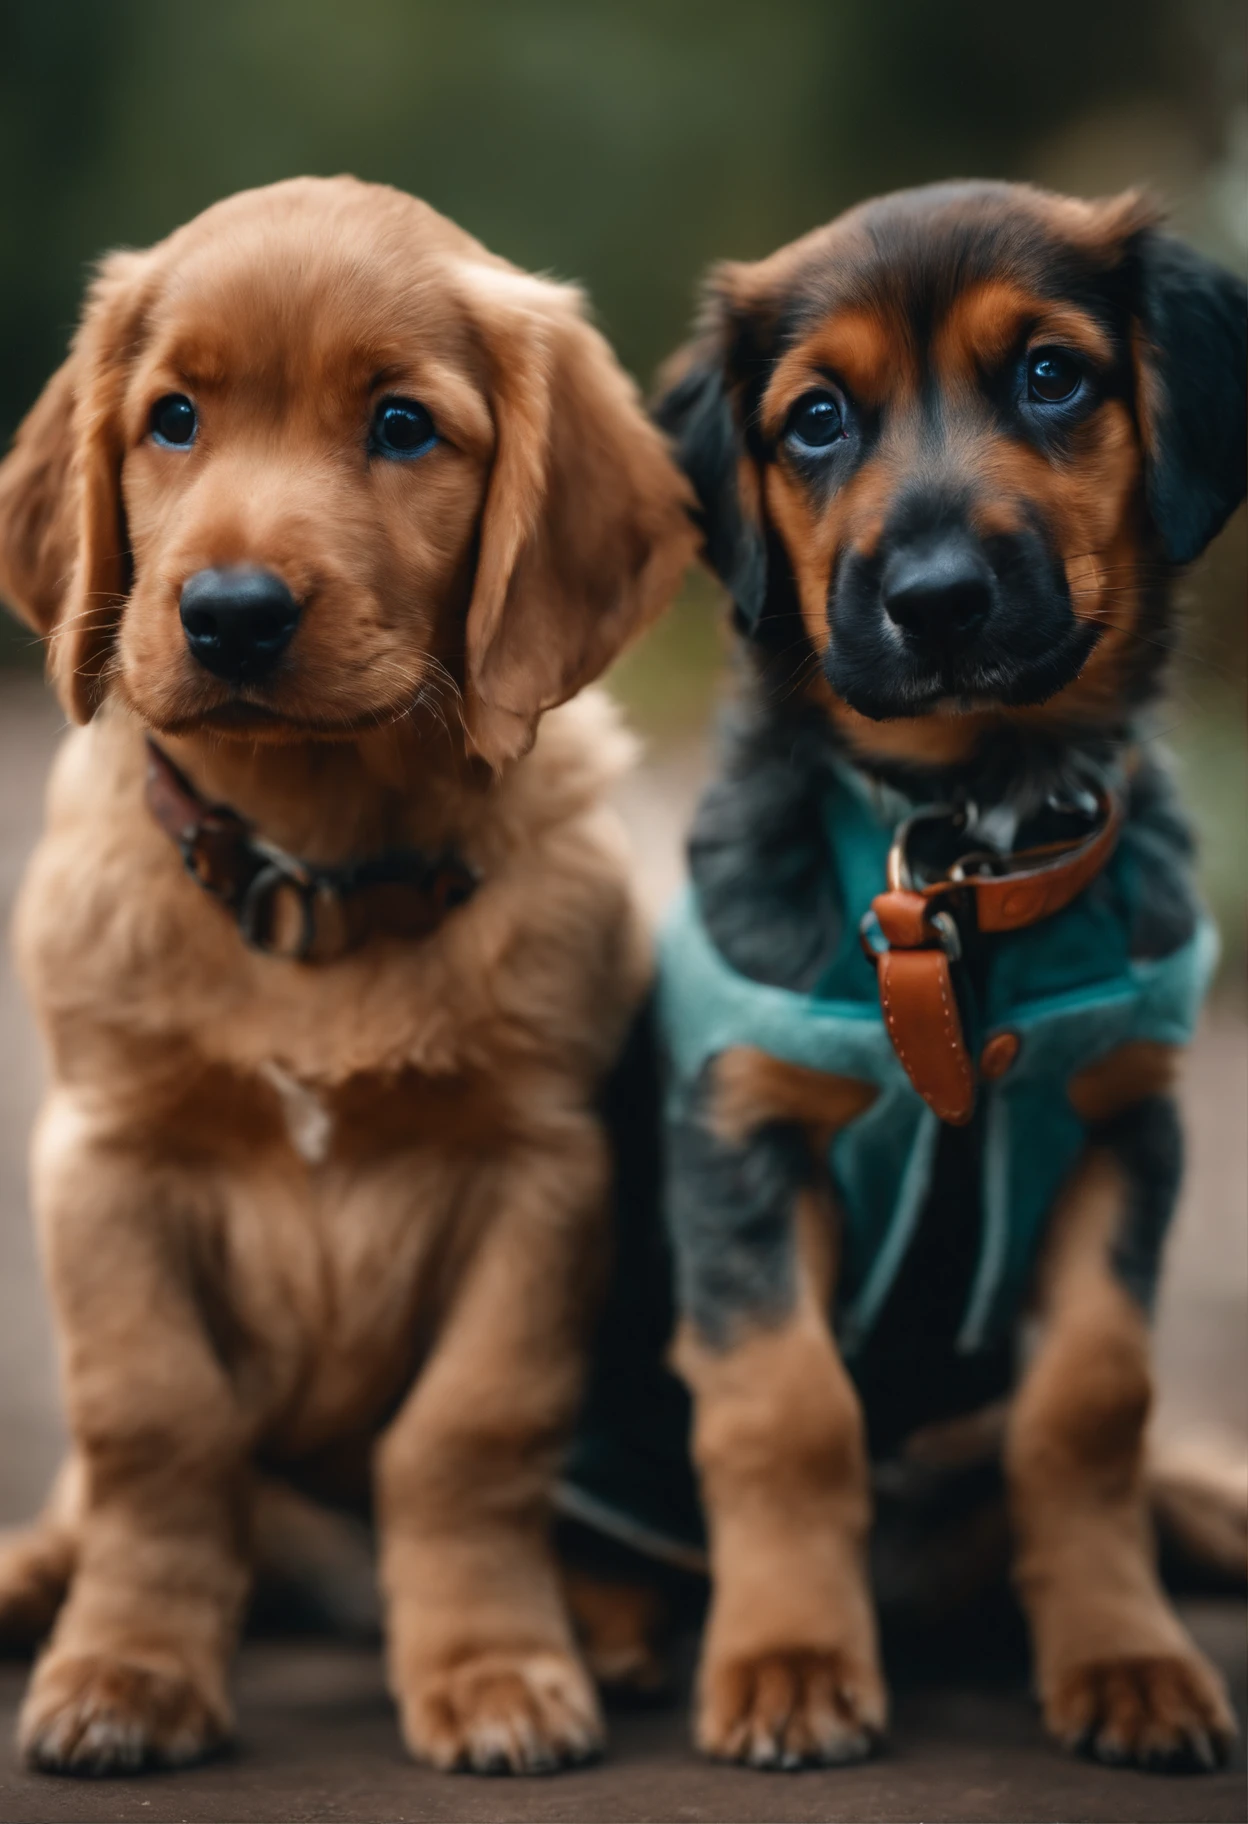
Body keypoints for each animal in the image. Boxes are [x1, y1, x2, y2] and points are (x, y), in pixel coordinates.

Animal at [0, 177, 693, 1772]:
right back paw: (31, 1580)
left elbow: (467, 1436)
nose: (232, 613)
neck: (313, 877)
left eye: (401, 426)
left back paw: (613, 1622)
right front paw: (126, 1669)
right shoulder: (106, 1158)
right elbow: (155, 1428)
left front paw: (497, 1669)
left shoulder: (539, 1173)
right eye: (173, 418)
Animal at [569, 181, 1248, 1765]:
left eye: (1053, 376)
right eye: (816, 419)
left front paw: (1125, 1655)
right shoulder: (744, 1146)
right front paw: (790, 1660)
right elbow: (786, 1413)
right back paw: (615, 1626)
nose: (937, 600)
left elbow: (1090, 1412)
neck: (968, 850)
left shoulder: (1126, 1129)